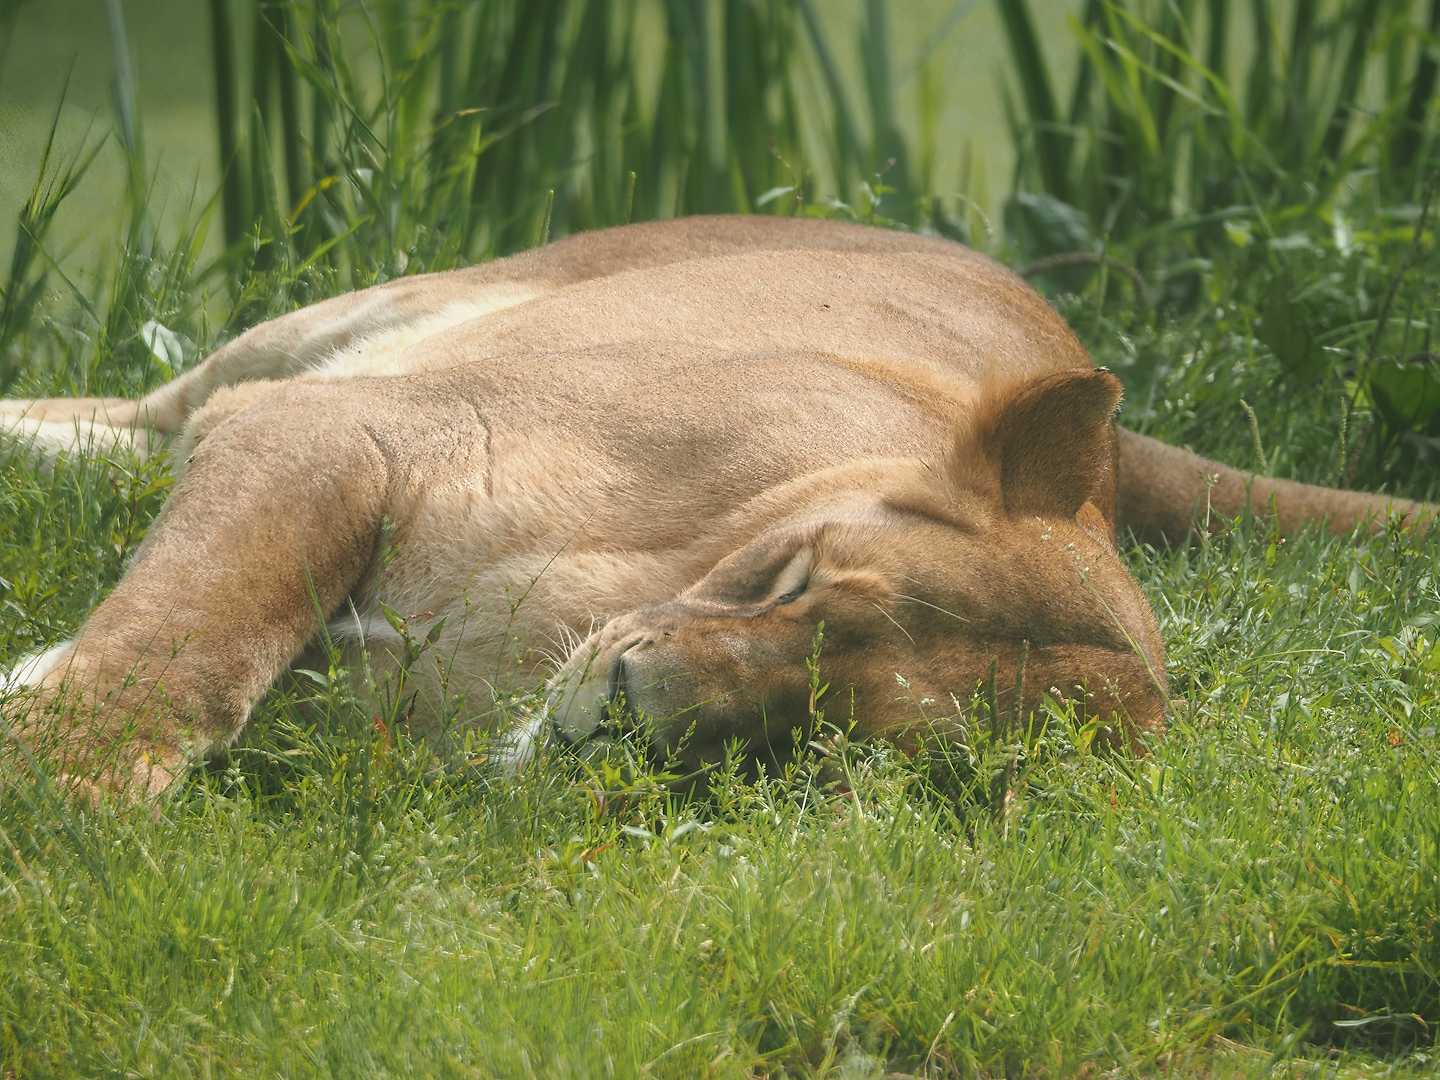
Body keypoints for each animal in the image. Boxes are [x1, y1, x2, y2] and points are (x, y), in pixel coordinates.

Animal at [0, 216, 1427, 798]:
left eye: (841, 739)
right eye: (797, 577)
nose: (631, 712)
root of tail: (1120, 451)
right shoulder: (332, 432)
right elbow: (186, 638)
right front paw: (60, 791)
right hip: (348, 326)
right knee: (141, 415)